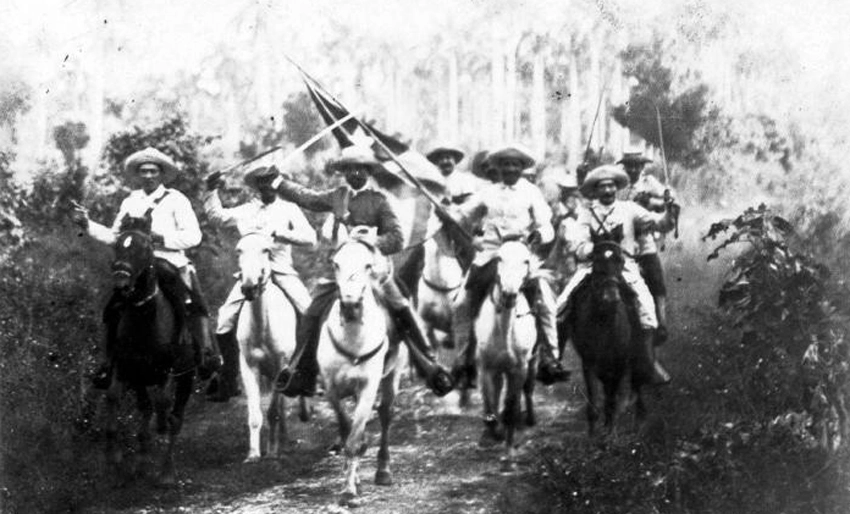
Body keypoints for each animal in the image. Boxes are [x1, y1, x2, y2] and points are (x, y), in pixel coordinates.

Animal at [103, 213, 195, 480]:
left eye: (144, 248)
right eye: (117, 244)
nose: (121, 282)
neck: (145, 321)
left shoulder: (167, 369)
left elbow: (163, 403)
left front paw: (159, 426)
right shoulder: (127, 367)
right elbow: (114, 396)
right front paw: (114, 456)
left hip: (186, 377)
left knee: (175, 419)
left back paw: (167, 472)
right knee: (145, 409)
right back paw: (143, 461)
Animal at [234, 232, 310, 460]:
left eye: (266, 250)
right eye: (239, 251)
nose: (249, 287)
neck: (262, 327)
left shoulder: (281, 366)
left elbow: (273, 411)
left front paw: (272, 452)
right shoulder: (248, 366)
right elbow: (255, 414)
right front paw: (253, 454)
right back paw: (283, 441)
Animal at [318, 237, 404, 504]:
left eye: (368, 265)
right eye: (335, 264)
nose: (350, 306)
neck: (353, 339)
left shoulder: (368, 387)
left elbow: (354, 438)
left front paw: (348, 492)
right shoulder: (331, 388)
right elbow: (346, 427)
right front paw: (351, 480)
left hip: (392, 376)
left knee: (386, 414)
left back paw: (383, 470)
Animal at [474, 238, 532, 470]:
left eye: (526, 260)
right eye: (499, 258)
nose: (509, 294)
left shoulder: (519, 370)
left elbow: (511, 408)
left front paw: (509, 454)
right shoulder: (487, 369)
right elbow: (490, 403)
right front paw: (493, 433)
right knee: (493, 396)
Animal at [560, 226, 644, 434]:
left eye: (620, 261)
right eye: (596, 261)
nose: (610, 297)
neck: (605, 321)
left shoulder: (619, 362)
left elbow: (612, 399)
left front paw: (610, 431)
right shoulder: (589, 361)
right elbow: (594, 400)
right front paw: (593, 433)